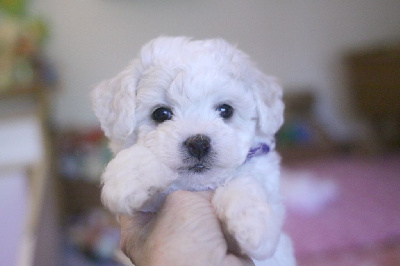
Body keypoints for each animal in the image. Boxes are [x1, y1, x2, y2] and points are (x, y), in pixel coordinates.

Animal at [92, 36, 296, 264]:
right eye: (161, 114)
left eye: (226, 110)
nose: (198, 144)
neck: (198, 185)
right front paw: (128, 179)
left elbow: (245, 184)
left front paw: (253, 226)